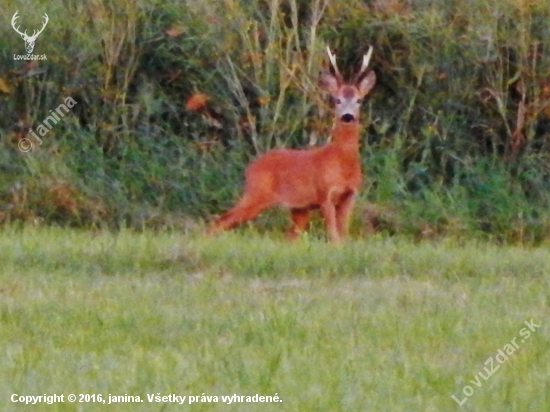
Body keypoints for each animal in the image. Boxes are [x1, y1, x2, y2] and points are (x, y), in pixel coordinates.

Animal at [209, 47, 378, 241]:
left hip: (298, 208)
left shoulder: (349, 196)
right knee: (219, 221)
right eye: (337, 100)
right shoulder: (324, 194)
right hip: (257, 193)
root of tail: (251, 166)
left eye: (359, 100)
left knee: (289, 236)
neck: (342, 162)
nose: (348, 116)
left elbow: (343, 236)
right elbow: (334, 237)